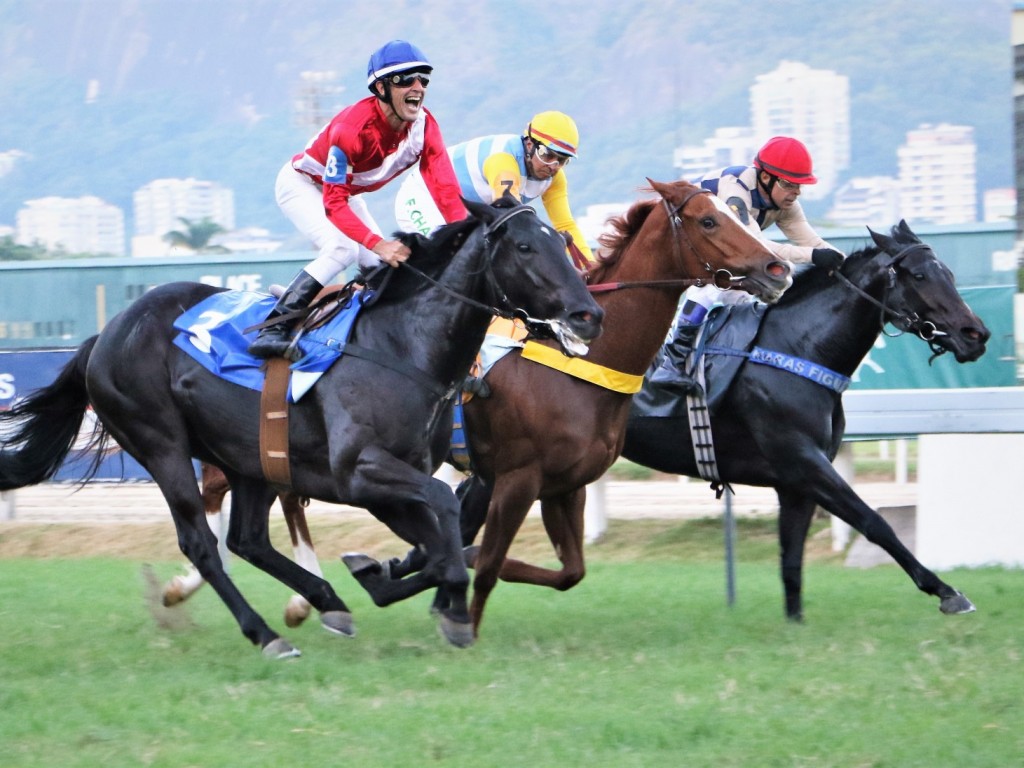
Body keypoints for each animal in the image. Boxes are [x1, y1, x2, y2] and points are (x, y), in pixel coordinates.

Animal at [0, 196, 598, 655]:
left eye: (561, 241)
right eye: (525, 247)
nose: (588, 314)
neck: (402, 344)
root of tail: (104, 335)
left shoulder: (391, 482)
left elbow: (437, 543)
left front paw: (381, 575)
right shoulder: (359, 470)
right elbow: (445, 520)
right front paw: (446, 603)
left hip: (249, 459)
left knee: (247, 539)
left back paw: (325, 602)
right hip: (161, 443)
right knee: (203, 543)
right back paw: (266, 635)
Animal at [618, 219, 987, 622]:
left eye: (949, 273)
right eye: (920, 276)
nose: (976, 334)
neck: (797, 346)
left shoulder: (795, 484)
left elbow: (791, 560)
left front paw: (795, 623)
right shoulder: (805, 463)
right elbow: (875, 523)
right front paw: (947, 591)